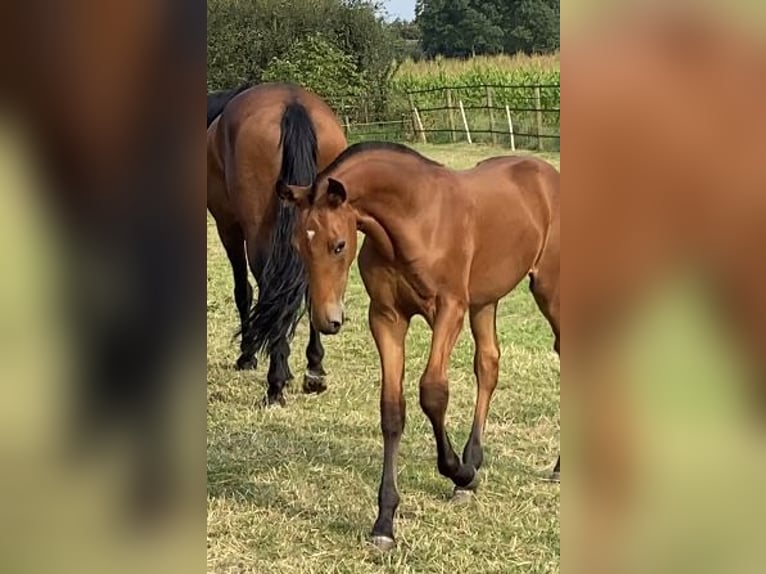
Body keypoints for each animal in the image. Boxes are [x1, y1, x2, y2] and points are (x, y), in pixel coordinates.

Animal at [206, 83, 346, 408]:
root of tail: (293, 104)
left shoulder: (228, 227)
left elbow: (243, 291)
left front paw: (247, 355)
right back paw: (314, 369)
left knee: (271, 290)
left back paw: (275, 382)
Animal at [280, 143, 560, 548]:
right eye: (297, 245)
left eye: (339, 245)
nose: (326, 320)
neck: (415, 217)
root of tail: (547, 174)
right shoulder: (387, 318)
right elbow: (392, 410)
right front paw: (384, 522)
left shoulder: (449, 310)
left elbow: (432, 392)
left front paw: (459, 472)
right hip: (485, 301)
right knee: (488, 365)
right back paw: (473, 462)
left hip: (549, 289)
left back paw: (553, 466)